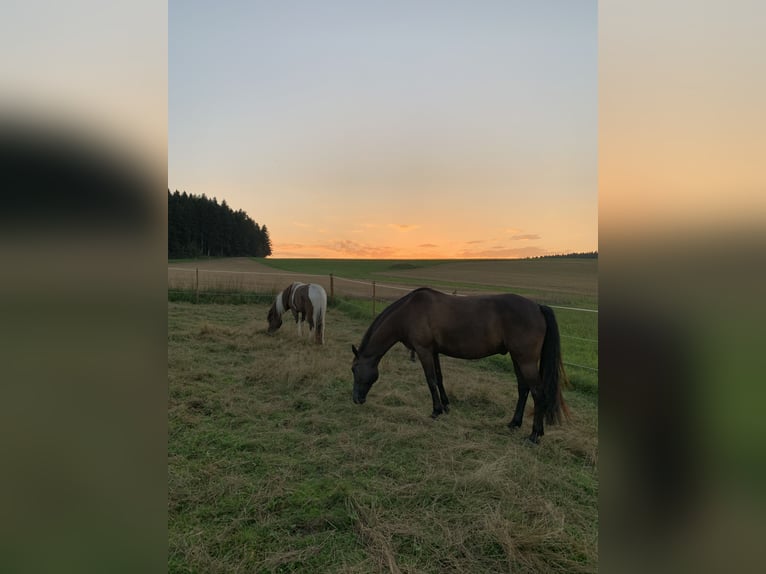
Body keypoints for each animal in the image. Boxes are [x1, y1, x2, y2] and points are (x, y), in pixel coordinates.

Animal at [351, 287, 569, 443]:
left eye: (353, 369)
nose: (356, 399)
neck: (409, 311)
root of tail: (538, 306)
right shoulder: (433, 351)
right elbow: (439, 379)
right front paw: (446, 406)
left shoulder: (424, 351)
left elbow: (430, 380)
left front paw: (436, 411)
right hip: (517, 358)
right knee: (523, 389)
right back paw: (514, 423)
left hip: (526, 360)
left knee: (538, 393)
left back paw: (534, 435)